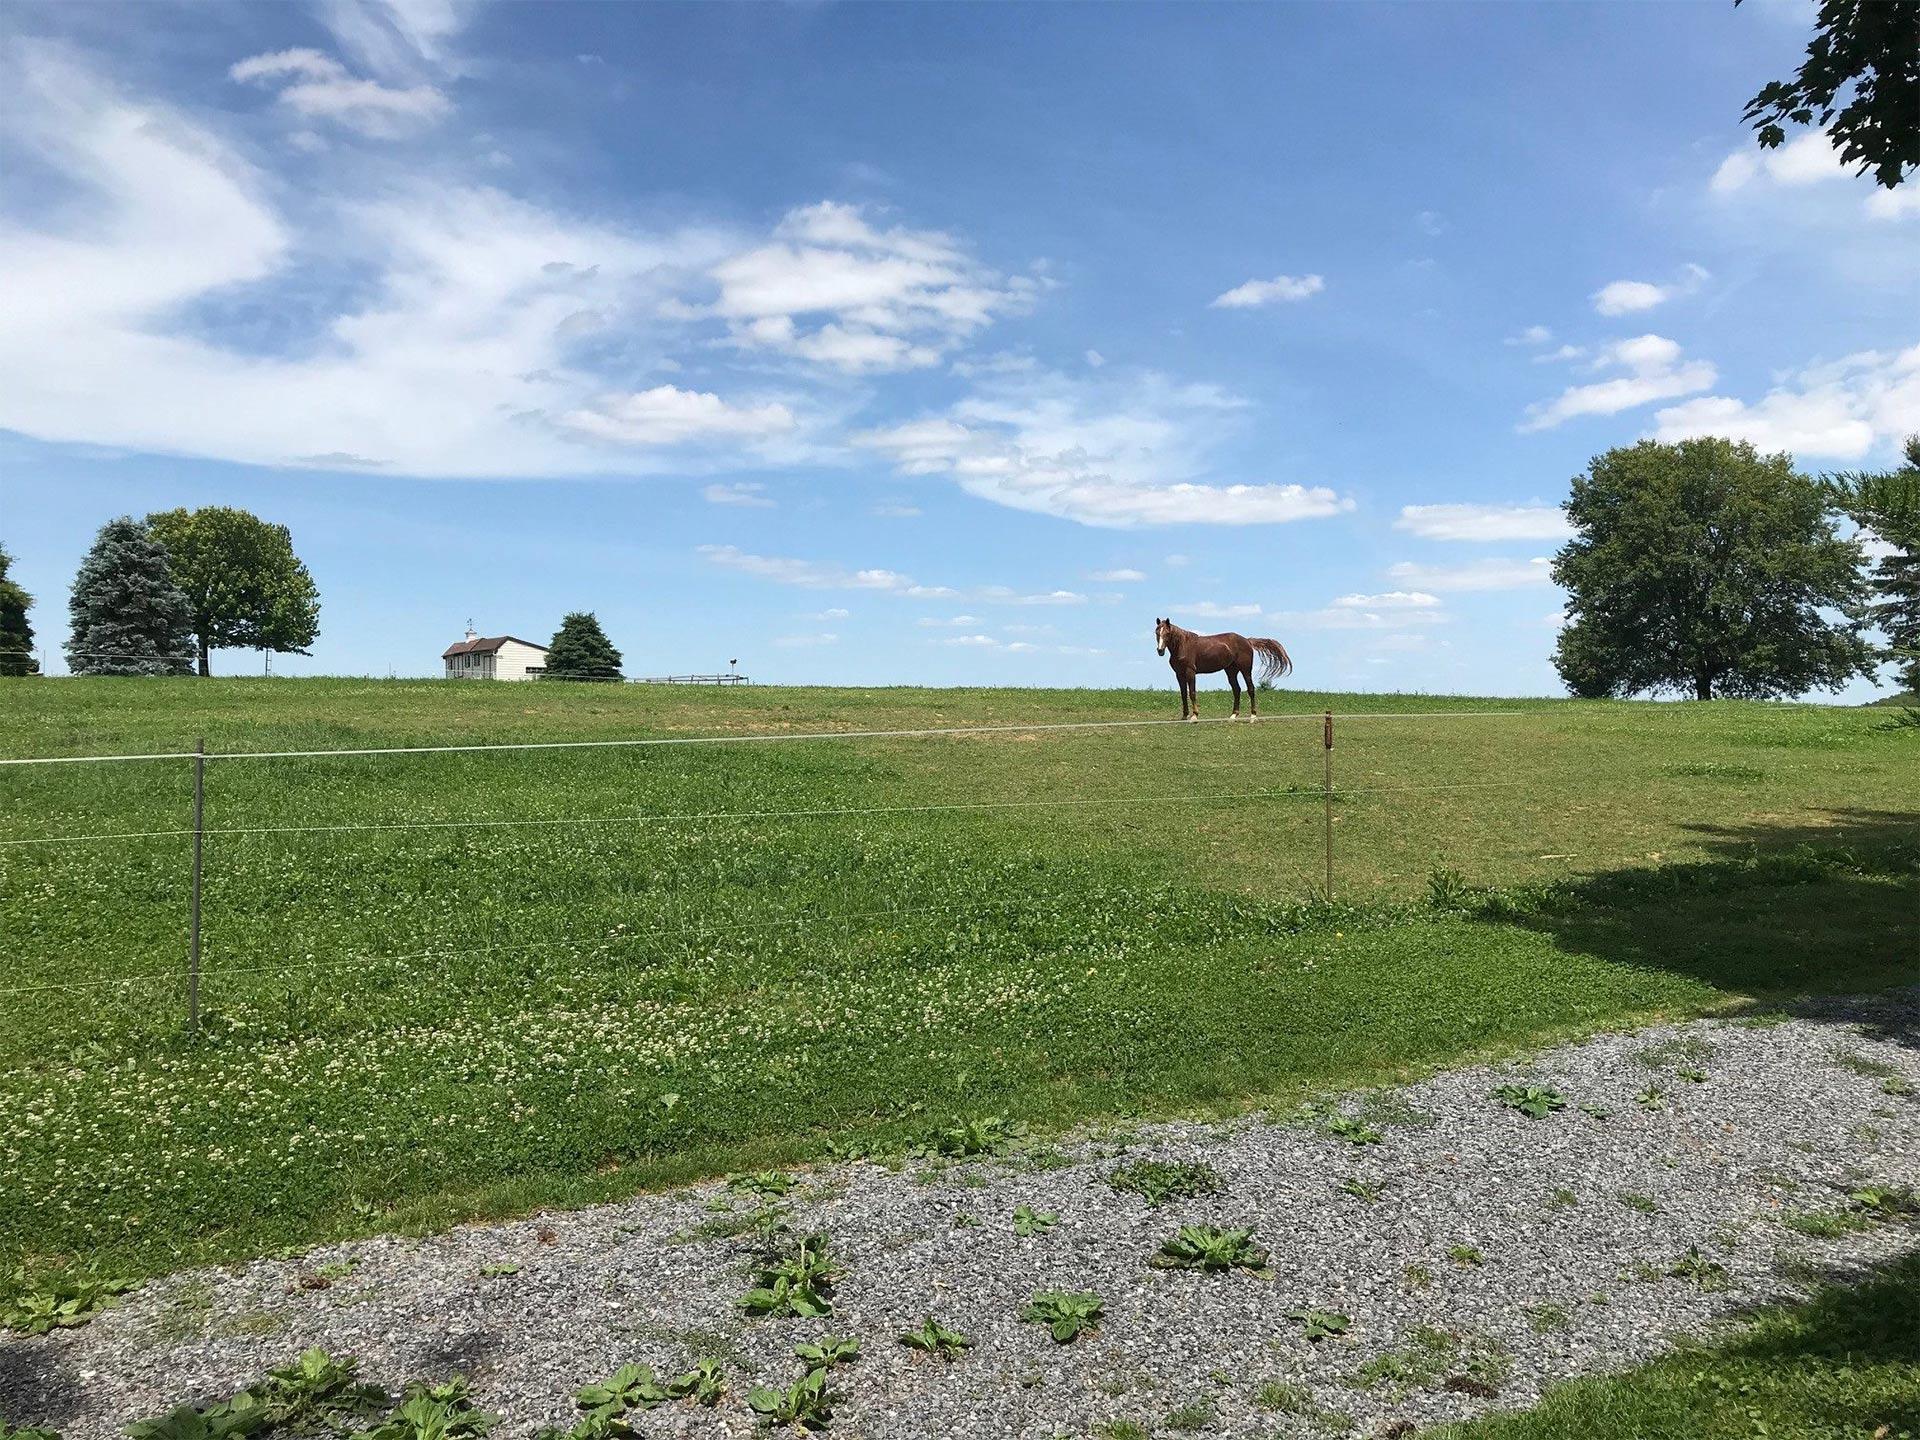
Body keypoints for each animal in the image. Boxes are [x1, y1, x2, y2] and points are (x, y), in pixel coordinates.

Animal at [1152, 618, 1290, 721]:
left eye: (1167, 633)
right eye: (1157, 632)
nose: (1160, 650)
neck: (1183, 646)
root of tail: (1247, 640)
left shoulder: (1190, 673)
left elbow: (1192, 693)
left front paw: (1194, 716)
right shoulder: (1179, 674)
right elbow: (1183, 694)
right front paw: (1184, 716)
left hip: (1245, 670)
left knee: (1250, 689)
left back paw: (1253, 716)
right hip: (1231, 671)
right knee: (1237, 690)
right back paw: (1233, 715)